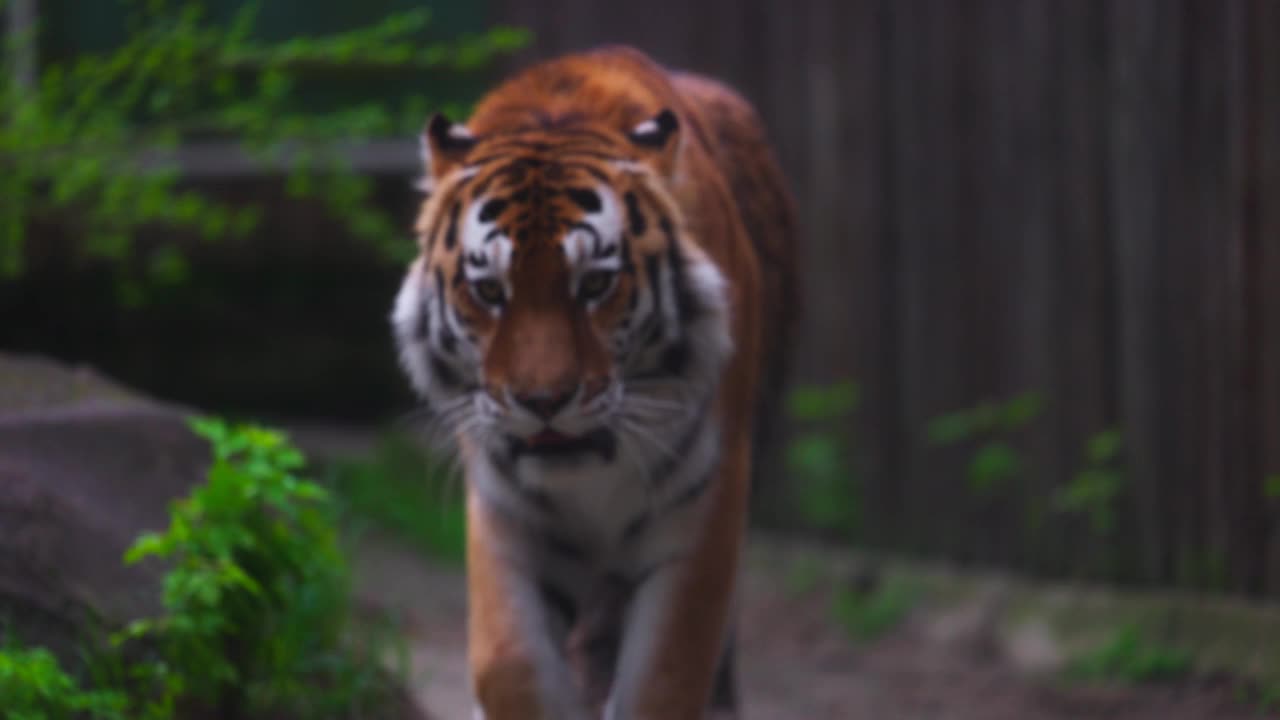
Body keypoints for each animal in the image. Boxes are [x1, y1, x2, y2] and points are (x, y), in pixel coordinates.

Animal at [389, 46, 793, 717]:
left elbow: (665, 676)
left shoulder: (705, 503)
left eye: (596, 284)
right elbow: (510, 662)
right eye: (490, 291)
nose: (543, 401)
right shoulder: (505, 512)